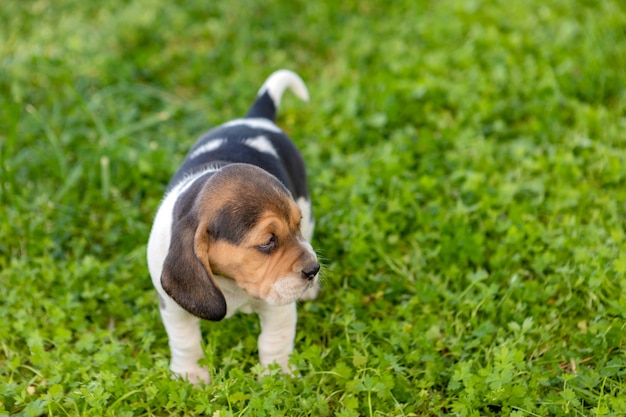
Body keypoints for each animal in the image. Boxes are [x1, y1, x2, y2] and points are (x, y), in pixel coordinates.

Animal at [147, 69, 320, 384]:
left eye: (296, 225)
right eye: (267, 241)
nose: (313, 270)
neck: (231, 283)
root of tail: (255, 118)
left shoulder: (278, 306)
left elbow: (274, 340)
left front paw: (277, 376)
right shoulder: (173, 308)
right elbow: (185, 340)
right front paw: (191, 376)